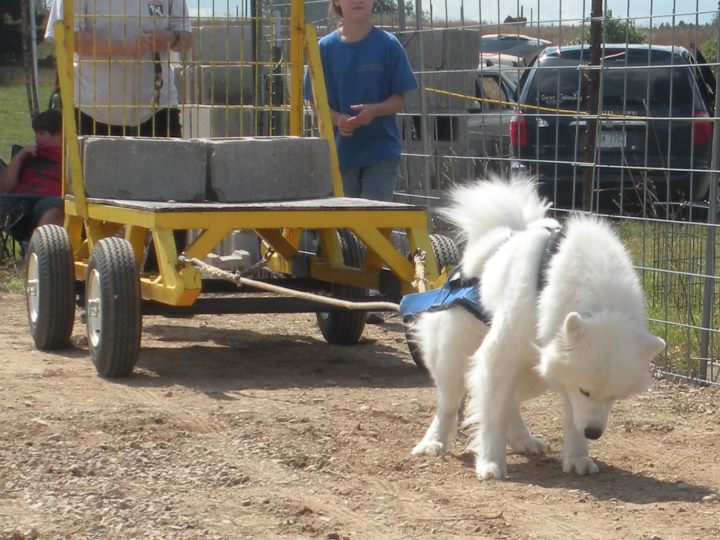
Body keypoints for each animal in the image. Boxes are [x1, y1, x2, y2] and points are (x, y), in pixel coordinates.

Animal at [408, 176, 668, 476]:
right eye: (585, 390)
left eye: (615, 397)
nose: (594, 433)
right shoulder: (499, 357)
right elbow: (492, 416)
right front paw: (490, 462)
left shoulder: (562, 375)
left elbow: (569, 419)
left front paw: (578, 457)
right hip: (453, 361)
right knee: (449, 406)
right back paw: (433, 443)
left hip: (533, 373)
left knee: (511, 404)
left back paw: (523, 440)